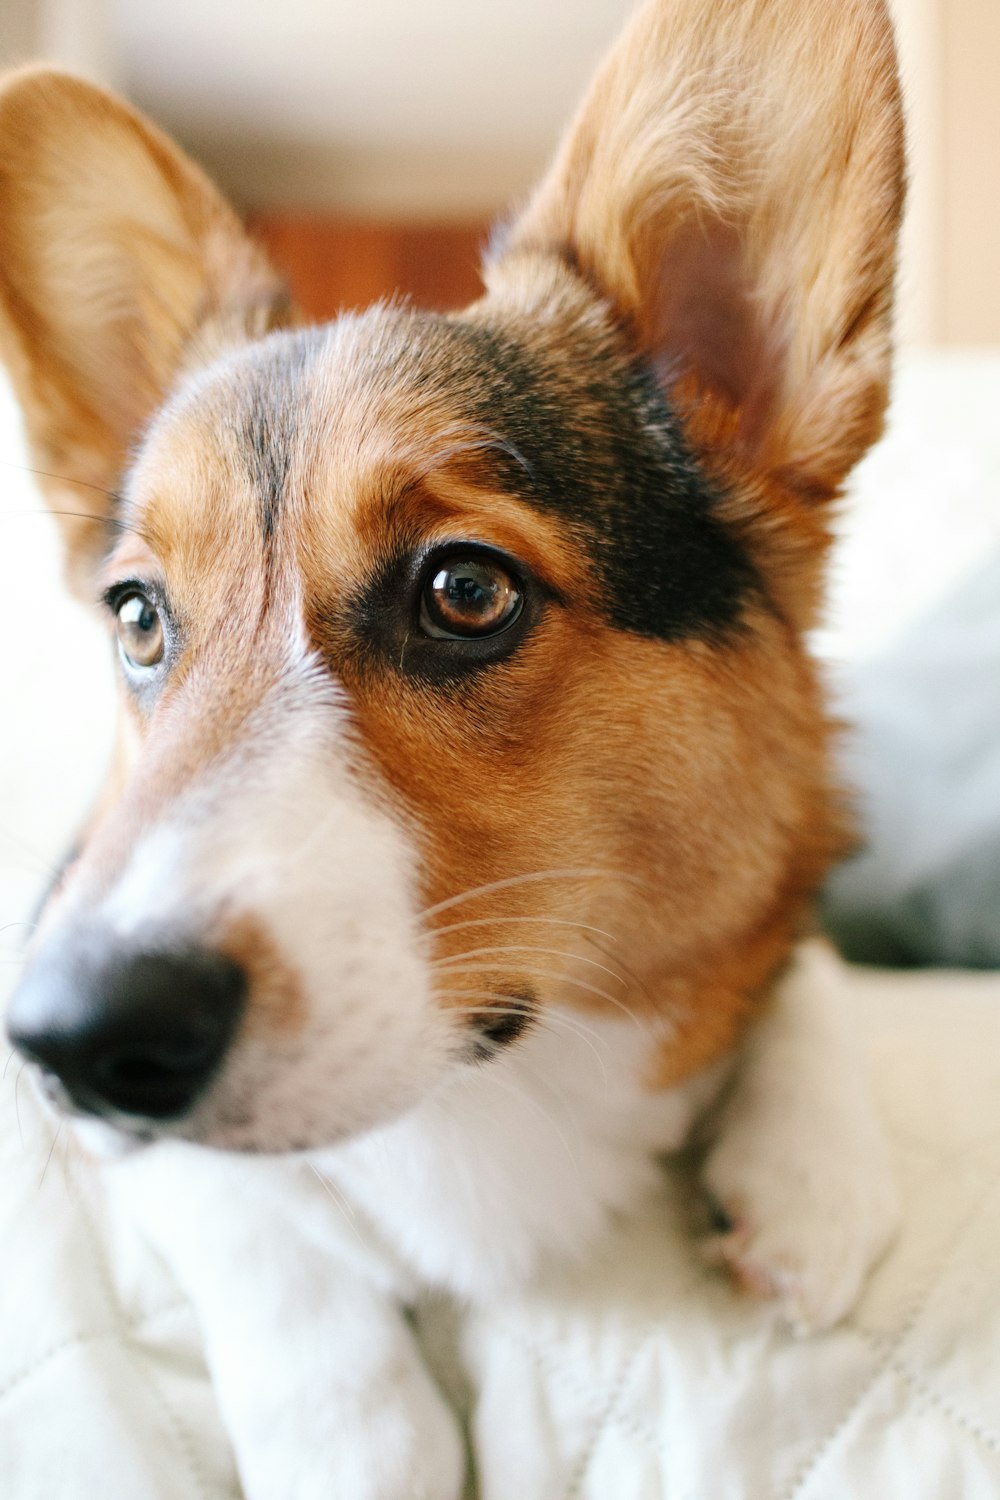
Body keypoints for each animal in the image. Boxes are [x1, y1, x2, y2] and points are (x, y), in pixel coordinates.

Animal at [0, 2, 905, 1488]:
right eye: (137, 617)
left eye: (465, 590)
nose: (73, 1039)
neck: (497, 1079)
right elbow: (248, 1220)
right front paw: (354, 1441)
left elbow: (801, 947)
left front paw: (810, 1179)